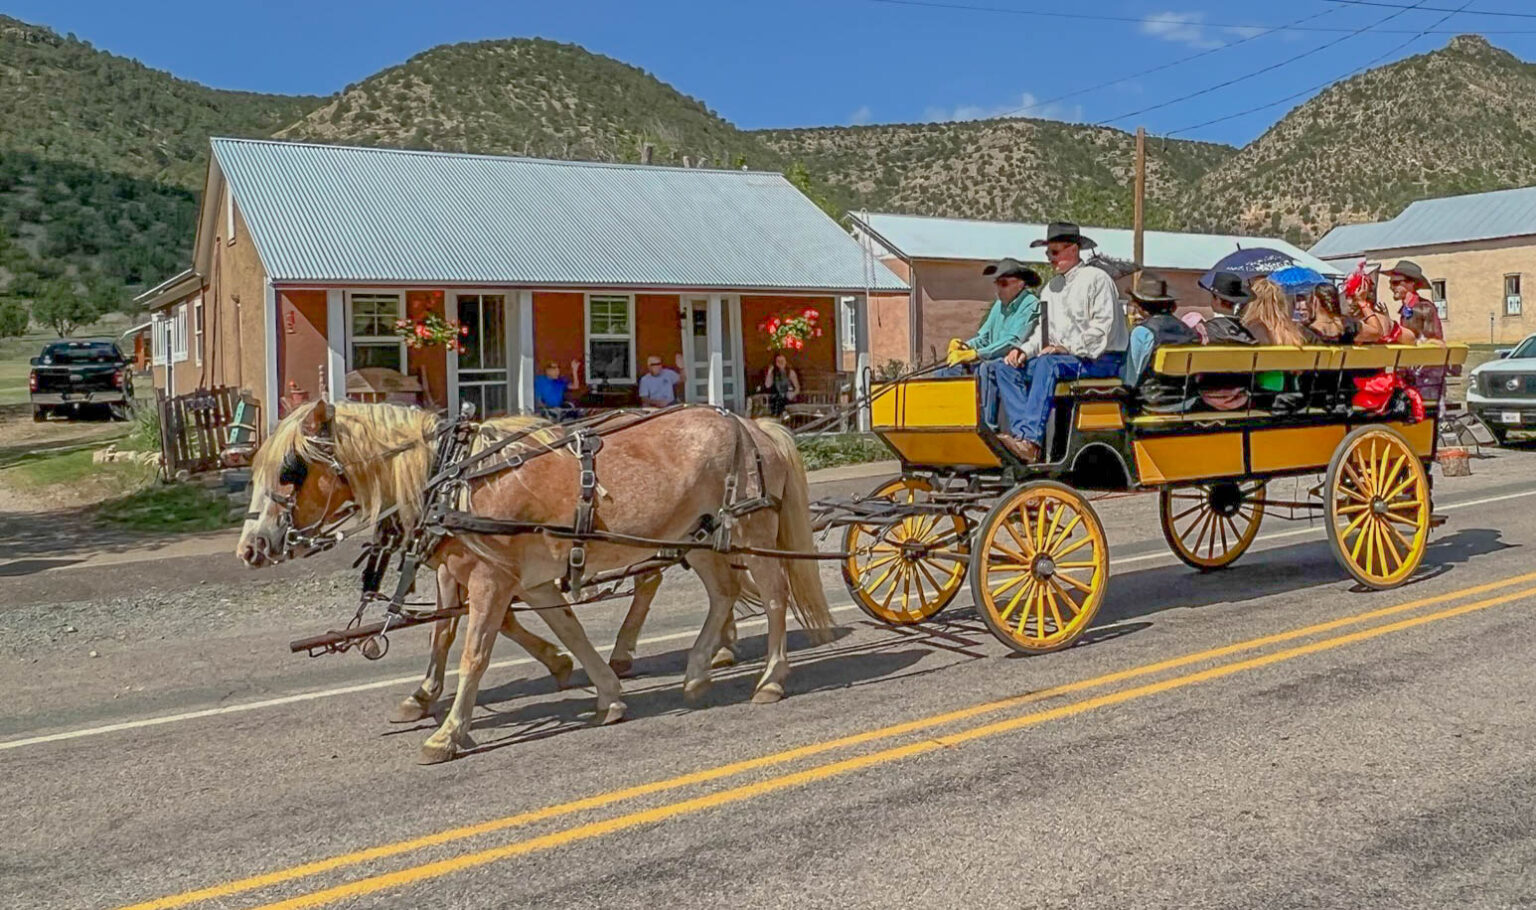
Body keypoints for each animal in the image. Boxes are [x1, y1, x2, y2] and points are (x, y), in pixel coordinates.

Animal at [238, 402, 829, 765]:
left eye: (290, 470)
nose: (251, 547)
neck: (454, 480)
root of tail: (755, 426)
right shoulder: (527, 581)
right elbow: (565, 632)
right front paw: (605, 694)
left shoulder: (490, 578)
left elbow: (473, 652)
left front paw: (448, 732)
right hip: (700, 538)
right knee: (722, 594)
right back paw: (698, 671)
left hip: (749, 531)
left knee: (774, 596)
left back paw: (770, 678)